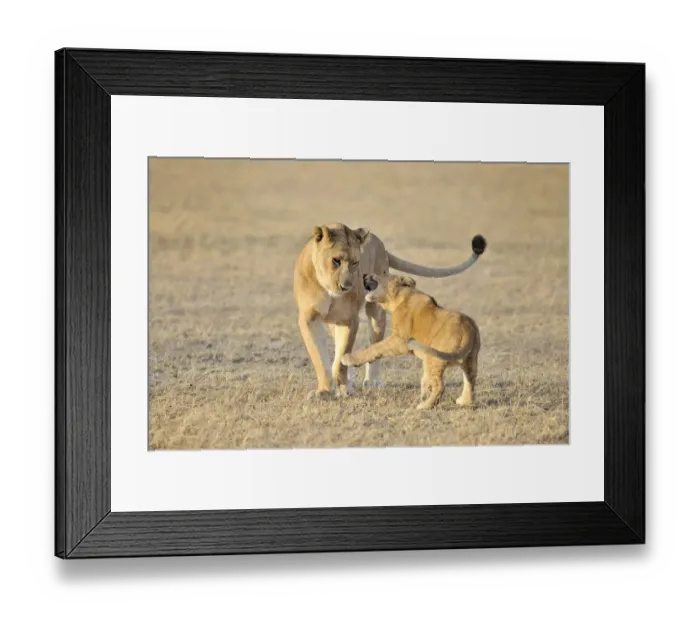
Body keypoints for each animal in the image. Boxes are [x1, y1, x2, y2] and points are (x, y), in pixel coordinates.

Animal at [341, 272, 481, 410]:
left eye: (383, 273)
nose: (364, 274)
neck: (398, 298)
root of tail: (469, 331)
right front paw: (424, 391)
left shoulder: (400, 340)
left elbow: (375, 347)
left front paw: (349, 359)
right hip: (469, 359)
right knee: (470, 380)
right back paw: (464, 401)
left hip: (434, 358)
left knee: (440, 385)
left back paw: (425, 406)